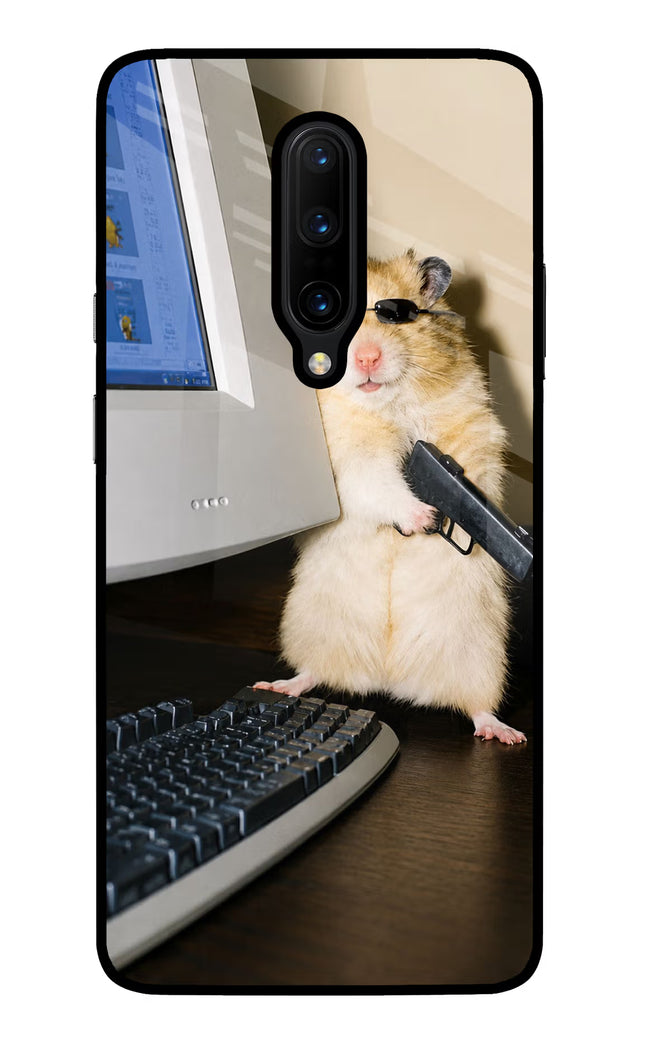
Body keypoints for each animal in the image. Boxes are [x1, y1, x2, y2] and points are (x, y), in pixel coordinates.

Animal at [256, 250, 526, 744]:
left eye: (395, 315)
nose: (366, 358)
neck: (387, 404)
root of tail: (388, 678)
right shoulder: (348, 460)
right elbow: (378, 483)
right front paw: (423, 518)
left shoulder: (471, 427)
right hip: (311, 626)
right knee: (313, 672)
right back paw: (279, 685)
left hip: (480, 654)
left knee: (477, 706)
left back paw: (504, 733)